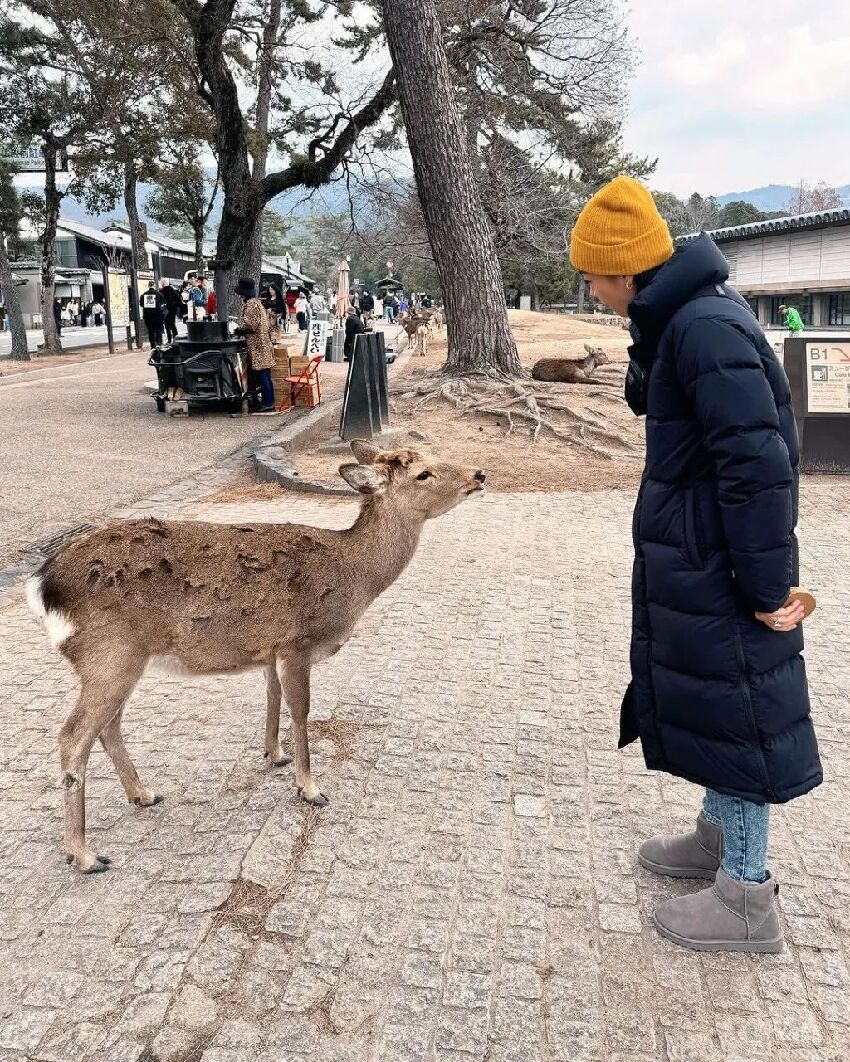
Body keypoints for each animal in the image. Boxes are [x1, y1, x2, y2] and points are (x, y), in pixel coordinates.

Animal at [26, 439, 484, 870]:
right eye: (424, 473)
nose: (478, 474)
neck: (355, 578)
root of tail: (43, 586)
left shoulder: (270, 648)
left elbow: (272, 696)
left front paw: (274, 754)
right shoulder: (297, 642)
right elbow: (301, 709)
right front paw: (310, 788)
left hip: (120, 661)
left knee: (108, 726)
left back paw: (143, 793)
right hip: (110, 653)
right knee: (73, 736)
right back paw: (85, 855)